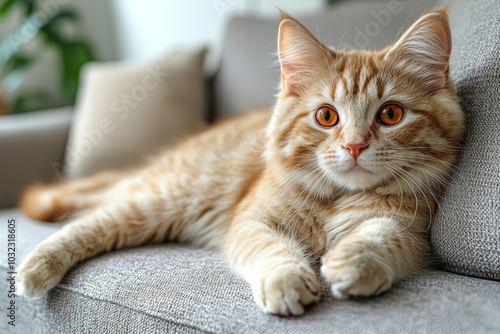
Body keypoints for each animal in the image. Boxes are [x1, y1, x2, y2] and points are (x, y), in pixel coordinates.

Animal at [18, 7, 464, 316]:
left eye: (390, 114)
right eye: (326, 116)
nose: (354, 146)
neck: (334, 200)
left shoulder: (412, 232)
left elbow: (379, 235)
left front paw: (353, 262)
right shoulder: (250, 220)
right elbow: (270, 249)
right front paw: (286, 279)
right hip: (163, 199)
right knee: (87, 221)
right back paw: (35, 266)